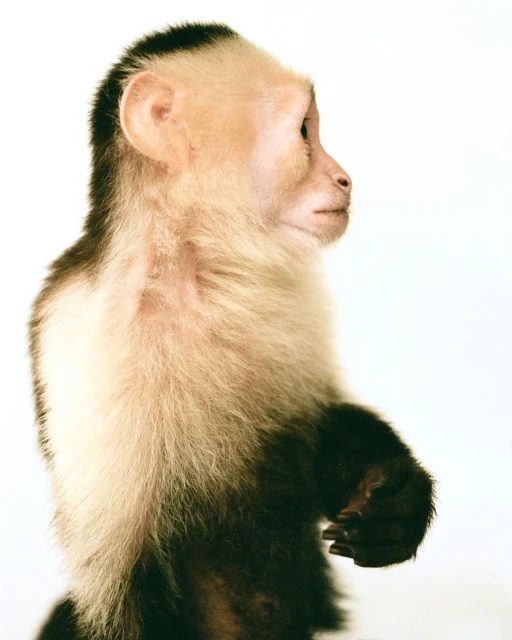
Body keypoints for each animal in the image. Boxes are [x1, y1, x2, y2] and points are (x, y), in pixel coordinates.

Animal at [30, 22, 435, 640]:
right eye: (304, 131)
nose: (344, 177)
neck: (195, 270)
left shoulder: (289, 296)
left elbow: (315, 426)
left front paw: (394, 494)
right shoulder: (93, 347)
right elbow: (127, 587)